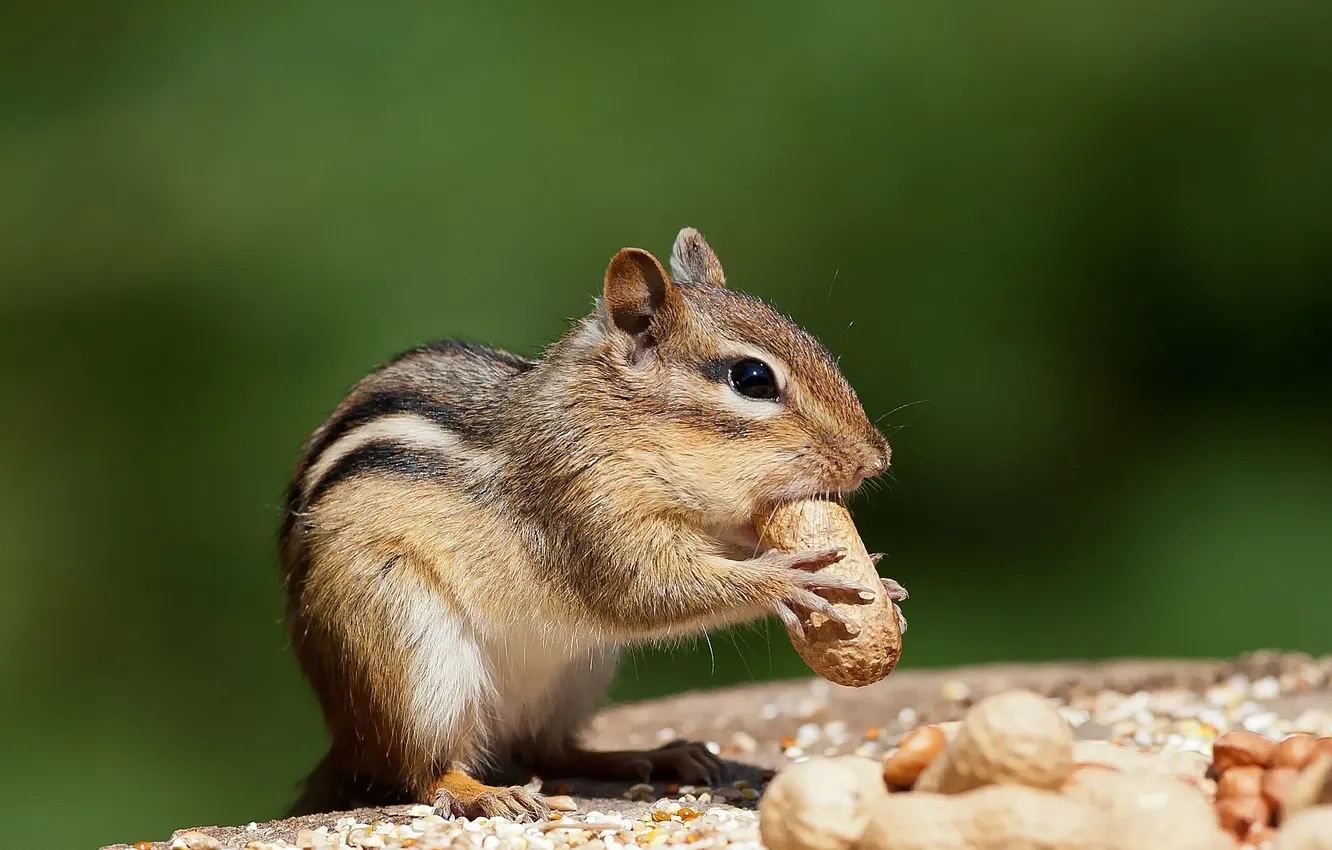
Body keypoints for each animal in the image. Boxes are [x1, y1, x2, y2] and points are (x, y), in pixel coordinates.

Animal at [278, 227, 906, 821]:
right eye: (752, 378)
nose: (878, 458)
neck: (621, 426)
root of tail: (346, 742)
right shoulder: (582, 506)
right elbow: (647, 588)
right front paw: (787, 577)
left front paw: (882, 582)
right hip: (408, 650)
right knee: (419, 767)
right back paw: (483, 794)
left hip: (576, 673)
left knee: (547, 751)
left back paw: (647, 757)